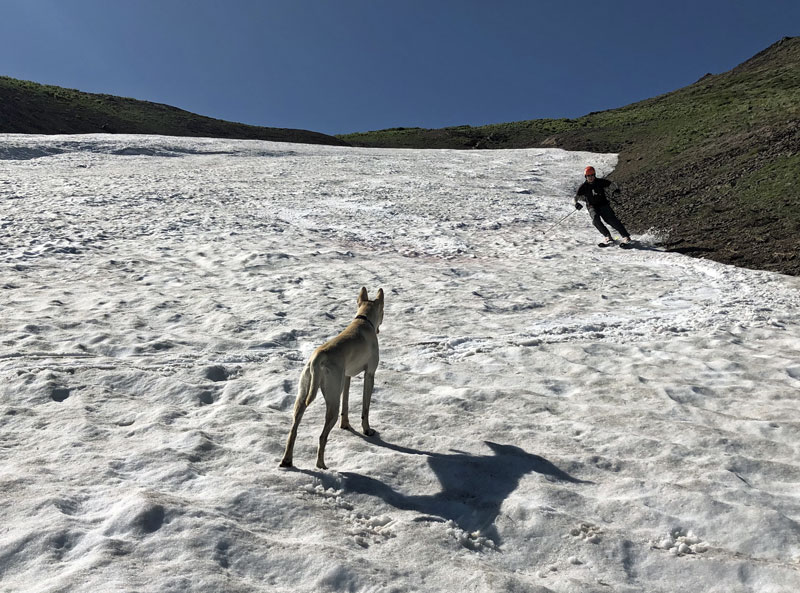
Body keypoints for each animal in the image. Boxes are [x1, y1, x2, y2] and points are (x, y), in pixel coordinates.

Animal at [278, 284, 384, 470]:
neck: (363, 320)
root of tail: (317, 357)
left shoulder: (346, 377)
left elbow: (346, 405)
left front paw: (346, 425)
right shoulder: (369, 374)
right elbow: (365, 409)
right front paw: (367, 430)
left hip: (304, 394)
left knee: (293, 430)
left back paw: (287, 461)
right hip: (332, 400)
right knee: (322, 436)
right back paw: (321, 465)